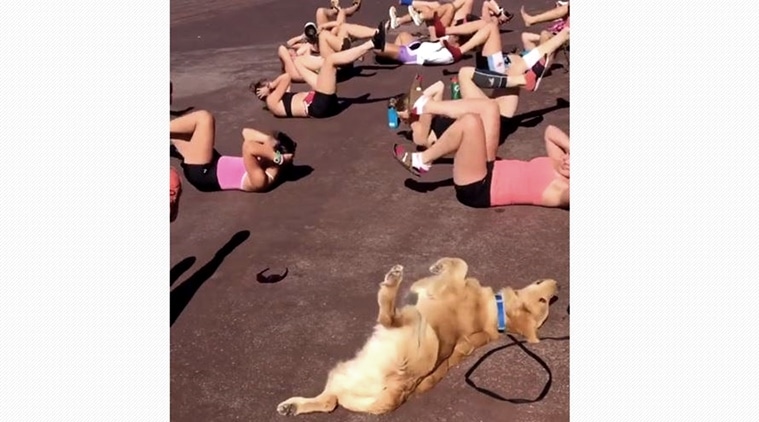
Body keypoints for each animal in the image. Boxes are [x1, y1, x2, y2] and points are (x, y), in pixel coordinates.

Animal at [274, 258, 560, 416]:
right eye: (544, 301)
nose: (558, 286)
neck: (496, 314)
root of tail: (397, 391)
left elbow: (460, 265)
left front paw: (440, 265)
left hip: (416, 328)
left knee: (388, 317)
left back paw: (392, 283)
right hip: (344, 378)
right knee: (328, 403)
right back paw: (293, 407)